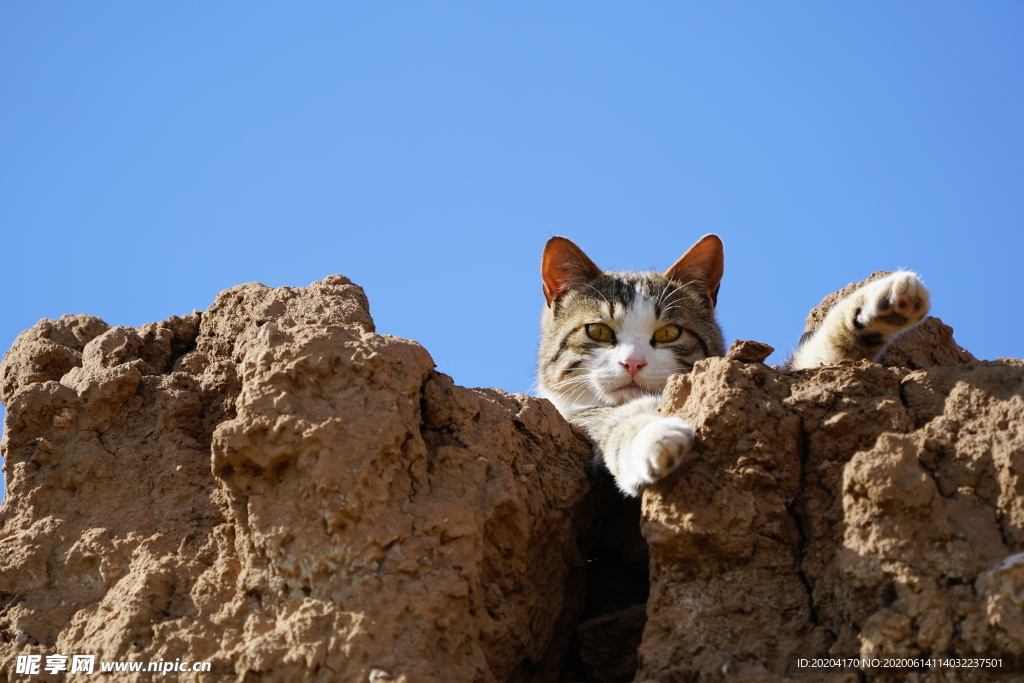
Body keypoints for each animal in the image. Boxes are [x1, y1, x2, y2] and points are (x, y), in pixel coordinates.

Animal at [540, 236, 933, 497]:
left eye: (669, 332)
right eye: (598, 331)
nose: (632, 362)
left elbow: (817, 360)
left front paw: (881, 304)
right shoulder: (577, 422)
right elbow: (617, 422)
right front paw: (656, 437)